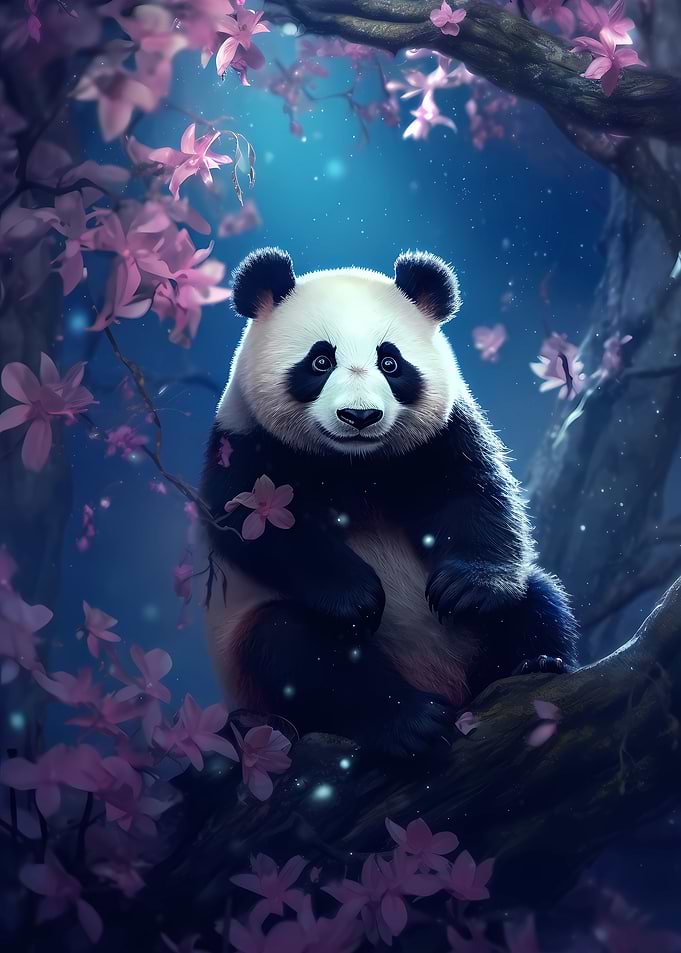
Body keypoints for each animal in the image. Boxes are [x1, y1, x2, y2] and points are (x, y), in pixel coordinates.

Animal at [201, 247, 578, 758]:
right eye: (320, 361)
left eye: (391, 362)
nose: (359, 416)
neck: (355, 464)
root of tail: (446, 684)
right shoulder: (243, 442)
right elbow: (253, 527)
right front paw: (356, 596)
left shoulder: (442, 436)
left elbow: (476, 496)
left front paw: (467, 588)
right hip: (247, 650)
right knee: (297, 653)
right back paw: (410, 722)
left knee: (535, 597)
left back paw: (536, 662)